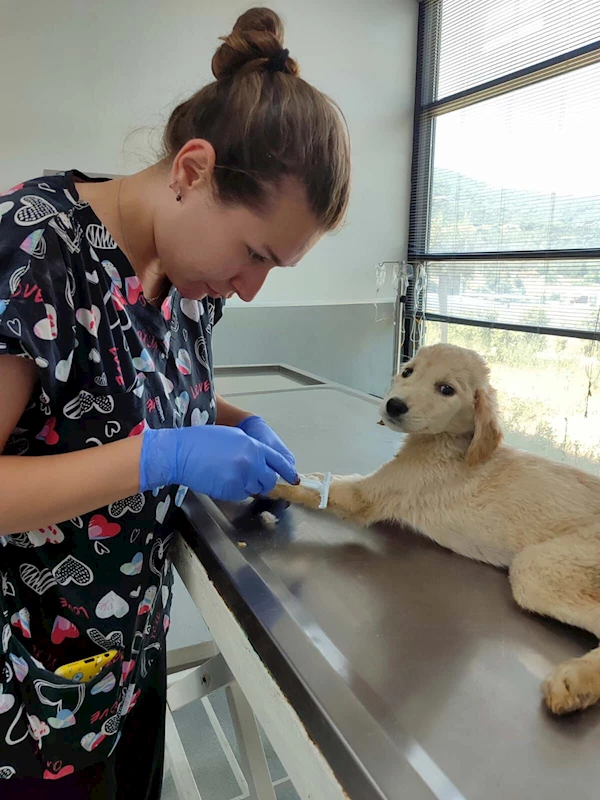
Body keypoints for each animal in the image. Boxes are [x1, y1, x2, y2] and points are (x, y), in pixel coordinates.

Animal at [270, 342, 600, 712]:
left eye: (446, 389)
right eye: (408, 371)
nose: (393, 405)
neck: (451, 443)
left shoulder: (366, 497)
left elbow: (310, 486)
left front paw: (262, 481)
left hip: (541, 568)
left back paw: (577, 681)